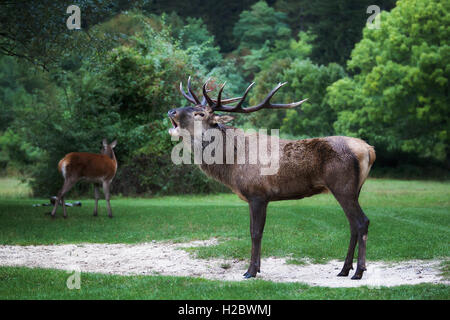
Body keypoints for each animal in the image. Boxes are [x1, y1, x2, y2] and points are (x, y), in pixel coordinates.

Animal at [167, 78, 374, 280]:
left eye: (200, 114)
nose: (171, 111)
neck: (232, 164)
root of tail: (368, 150)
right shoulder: (256, 198)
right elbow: (254, 230)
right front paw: (257, 268)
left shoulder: (258, 194)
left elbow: (255, 232)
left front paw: (250, 271)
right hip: (354, 189)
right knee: (353, 225)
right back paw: (344, 269)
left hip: (343, 186)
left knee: (362, 222)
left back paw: (358, 271)